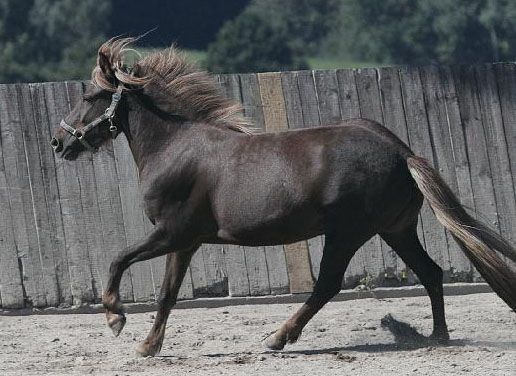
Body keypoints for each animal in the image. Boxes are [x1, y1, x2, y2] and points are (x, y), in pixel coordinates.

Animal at [50, 39, 516, 358]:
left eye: (90, 97)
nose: (59, 142)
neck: (175, 147)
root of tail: (402, 151)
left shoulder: (172, 234)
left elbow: (121, 261)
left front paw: (117, 320)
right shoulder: (185, 242)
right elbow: (166, 292)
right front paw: (147, 344)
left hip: (347, 233)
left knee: (327, 285)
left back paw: (278, 337)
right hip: (395, 229)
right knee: (431, 273)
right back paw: (438, 336)